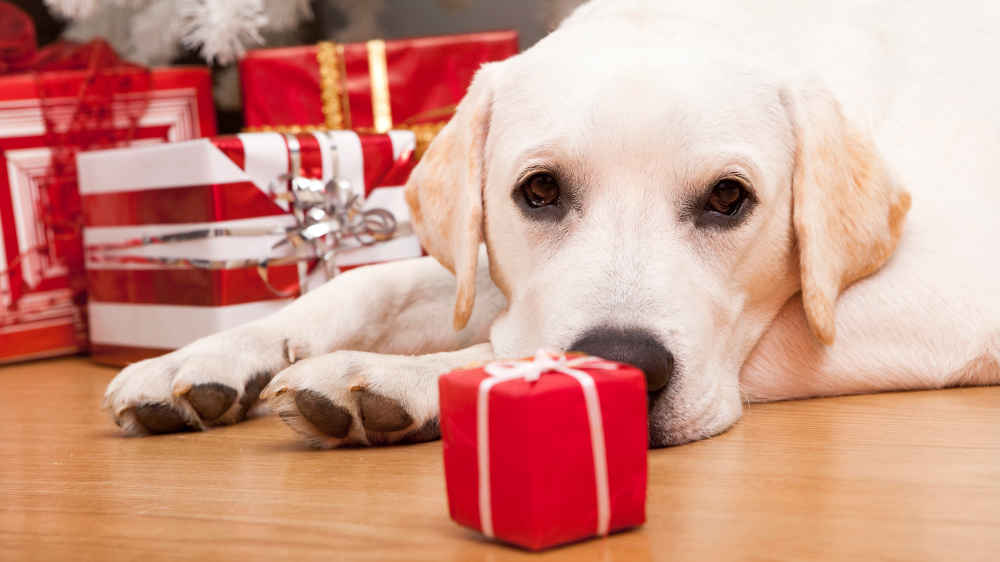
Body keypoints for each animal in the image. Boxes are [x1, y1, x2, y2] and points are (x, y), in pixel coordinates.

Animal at [103, 0, 1000, 446]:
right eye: (538, 191)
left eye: (727, 199)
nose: (625, 364)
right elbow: (365, 289)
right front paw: (208, 355)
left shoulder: (952, 294)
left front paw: (397, 379)